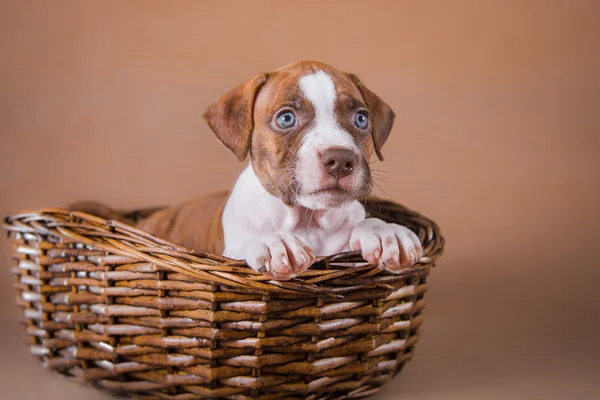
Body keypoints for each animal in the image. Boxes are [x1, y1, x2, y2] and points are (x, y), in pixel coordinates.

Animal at [79, 61, 422, 282]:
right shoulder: (228, 252)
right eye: (286, 118)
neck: (307, 220)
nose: (340, 159)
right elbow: (246, 247)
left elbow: (363, 224)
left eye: (361, 119)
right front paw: (274, 242)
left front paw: (386, 231)